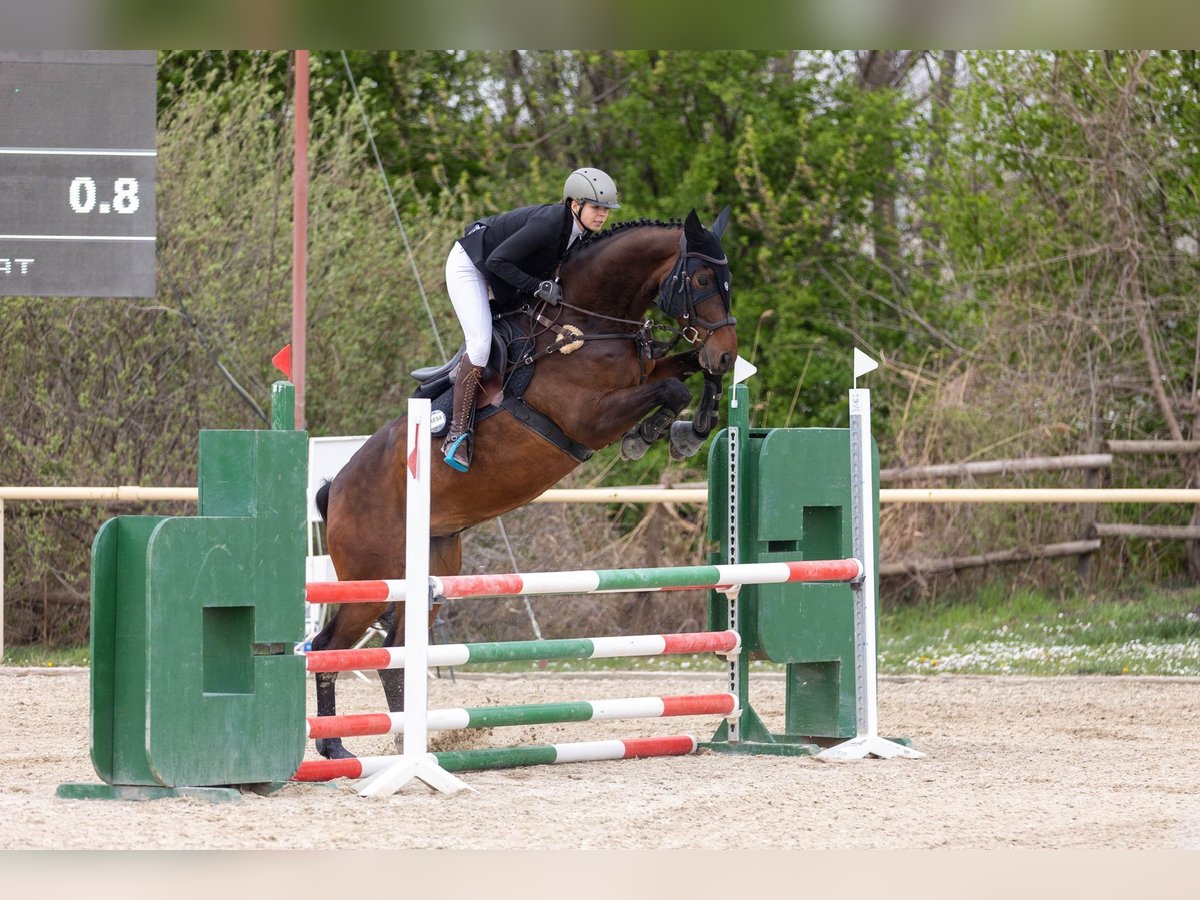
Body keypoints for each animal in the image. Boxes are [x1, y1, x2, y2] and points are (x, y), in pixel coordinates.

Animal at [309, 206, 734, 763]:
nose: (726, 351)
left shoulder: (646, 370)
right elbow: (671, 388)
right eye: (702, 279)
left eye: (729, 282)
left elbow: (686, 373)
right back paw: (335, 748)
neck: (590, 326)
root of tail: (335, 489)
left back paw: (407, 743)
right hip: (369, 581)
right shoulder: (589, 417)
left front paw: (691, 428)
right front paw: (650, 436)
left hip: (429, 570)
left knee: (396, 650)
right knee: (328, 647)